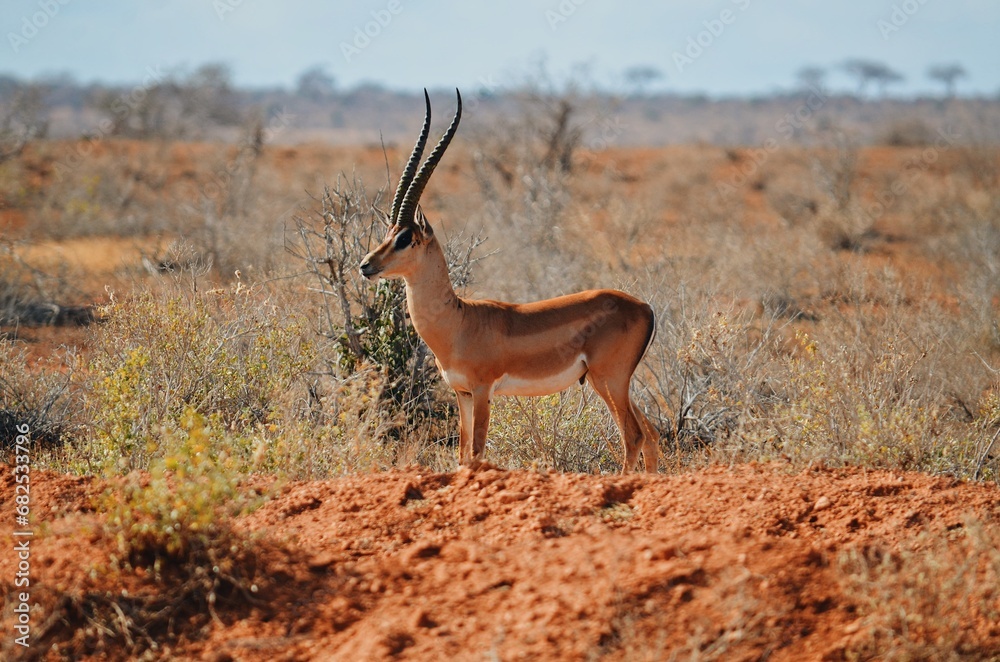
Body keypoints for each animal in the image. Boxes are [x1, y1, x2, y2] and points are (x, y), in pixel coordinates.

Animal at [360, 89, 660, 473]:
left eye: (405, 238)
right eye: (388, 232)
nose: (366, 265)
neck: (458, 322)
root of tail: (645, 307)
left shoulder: (483, 390)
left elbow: (476, 452)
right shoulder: (461, 393)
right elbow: (462, 454)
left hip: (608, 380)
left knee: (634, 436)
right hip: (617, 383)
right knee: (651, 435)